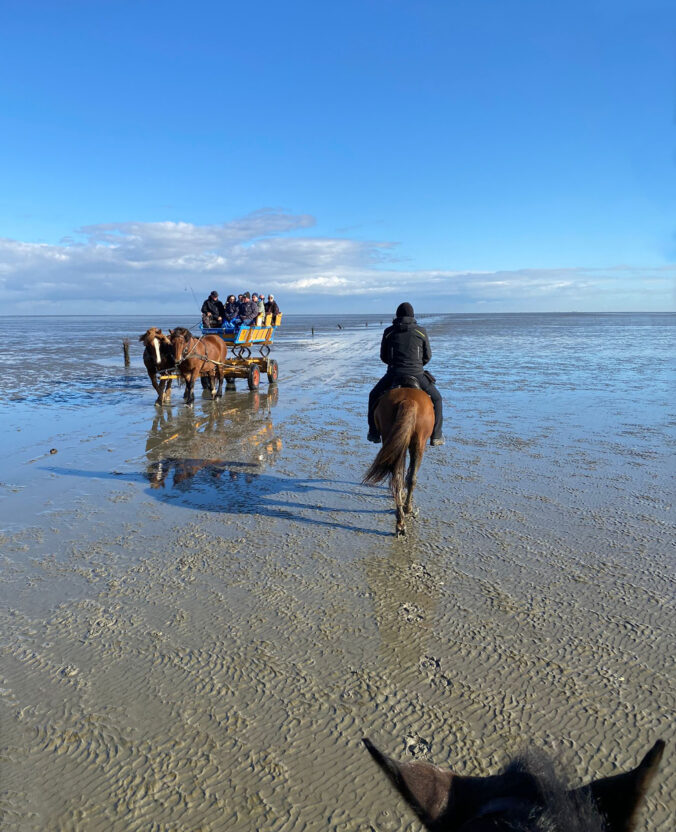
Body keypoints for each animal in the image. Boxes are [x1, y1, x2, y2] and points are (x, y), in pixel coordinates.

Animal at [364, 386, 434, 536]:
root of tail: (408, 400)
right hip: (419, 443)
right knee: (411, 477)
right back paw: (407, 510)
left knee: (397, 477)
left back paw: (400, 522)